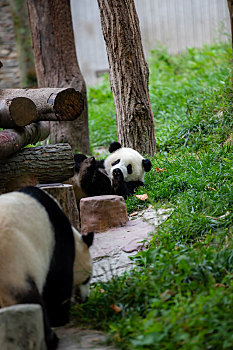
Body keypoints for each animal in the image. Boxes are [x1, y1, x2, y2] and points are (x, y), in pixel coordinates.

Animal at [0, 185, 93, 348]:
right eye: (87, 279)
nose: (85, 299)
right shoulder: (56, 240)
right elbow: (57, 284)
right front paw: (60, 317)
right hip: (13, 262)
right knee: (28, 300)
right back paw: (51, 339)